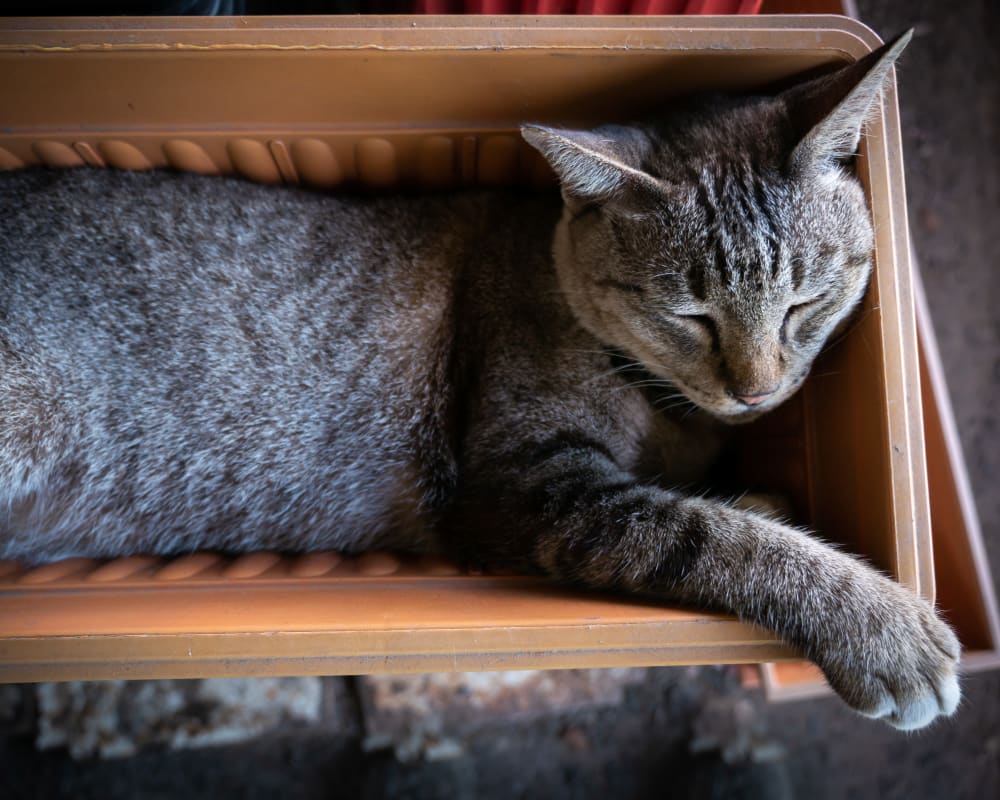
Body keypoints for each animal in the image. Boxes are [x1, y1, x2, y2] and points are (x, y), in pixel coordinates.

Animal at [0, 31, 960, 732]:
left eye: (807, 299)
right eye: (688, 313)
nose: (758, 393)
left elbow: (719, 508)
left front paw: (756, 494)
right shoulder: (524, 485)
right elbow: (712, 537)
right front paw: (883, 628)